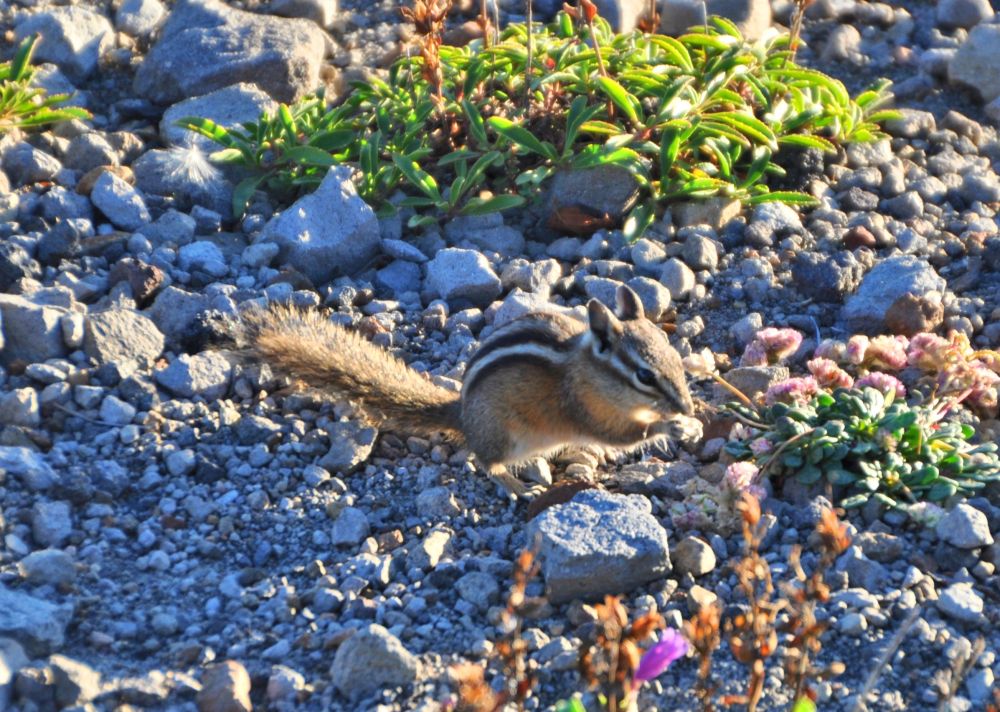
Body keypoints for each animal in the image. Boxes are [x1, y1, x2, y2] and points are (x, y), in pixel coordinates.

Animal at [243, 284, 700, 497]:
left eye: (675, 358)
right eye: (644, 375)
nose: (685, 405)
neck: (589, 369)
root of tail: (462, 414)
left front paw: (691, 420)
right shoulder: (585, 408)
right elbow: (621, 435)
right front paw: (673, 427)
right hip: (503, 436)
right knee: (486, 463)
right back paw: (517, 487)